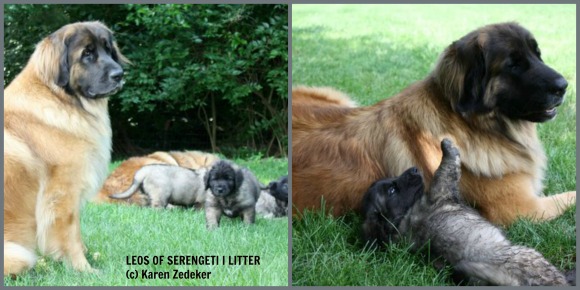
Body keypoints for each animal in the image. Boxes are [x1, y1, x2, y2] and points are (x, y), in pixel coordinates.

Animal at [3, 21, 129, 276]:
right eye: (87, 54)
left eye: (108, 49)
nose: (119, 75)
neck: (59, 97)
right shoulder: (63, 193)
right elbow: (69, 234)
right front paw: (83, 268)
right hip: (18, 254)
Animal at [294, 23, 576, 227]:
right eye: (513, 64)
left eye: (538, 55)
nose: (563, 86)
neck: (473, 125)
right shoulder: (521, 209)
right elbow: (571, 195)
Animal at [360, 139, 568, 286]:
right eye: (392, 190)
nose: (414, 169)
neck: (403, 218)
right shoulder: (440, 190)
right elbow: (447, 167)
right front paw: (447, 146)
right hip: (530, 257)